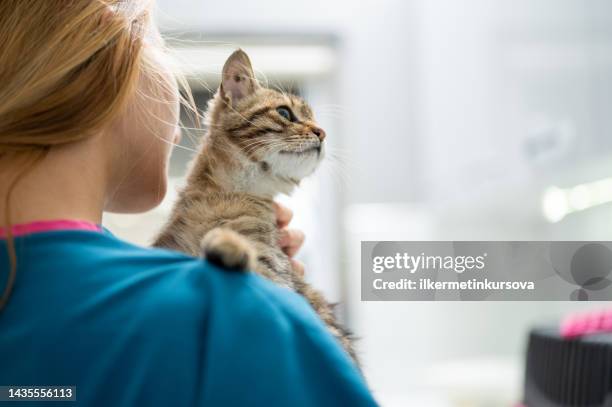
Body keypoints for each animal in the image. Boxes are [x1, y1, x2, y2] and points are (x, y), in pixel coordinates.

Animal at [152, 49, 358, 364]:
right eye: (284, 113)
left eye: (315, 120)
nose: (322, 132)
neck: (225, 197)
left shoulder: (275, 271)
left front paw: (227, 247)